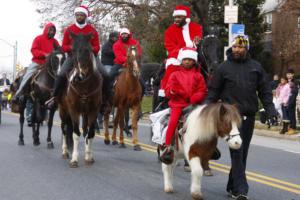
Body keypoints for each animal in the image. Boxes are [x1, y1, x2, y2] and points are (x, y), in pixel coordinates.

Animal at [58, 32, 103, 167]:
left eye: (88, 50)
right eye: (72, 50)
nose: (79, 76)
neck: (85, 85)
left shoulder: (93, 111)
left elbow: (90, 133)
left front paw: (89, 157)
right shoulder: (74, 110)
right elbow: (76, 134)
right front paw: (74, 159)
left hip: (85, 113)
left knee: (84, 131)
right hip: (63, 111)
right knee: (64, 129)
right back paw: (65, 152)